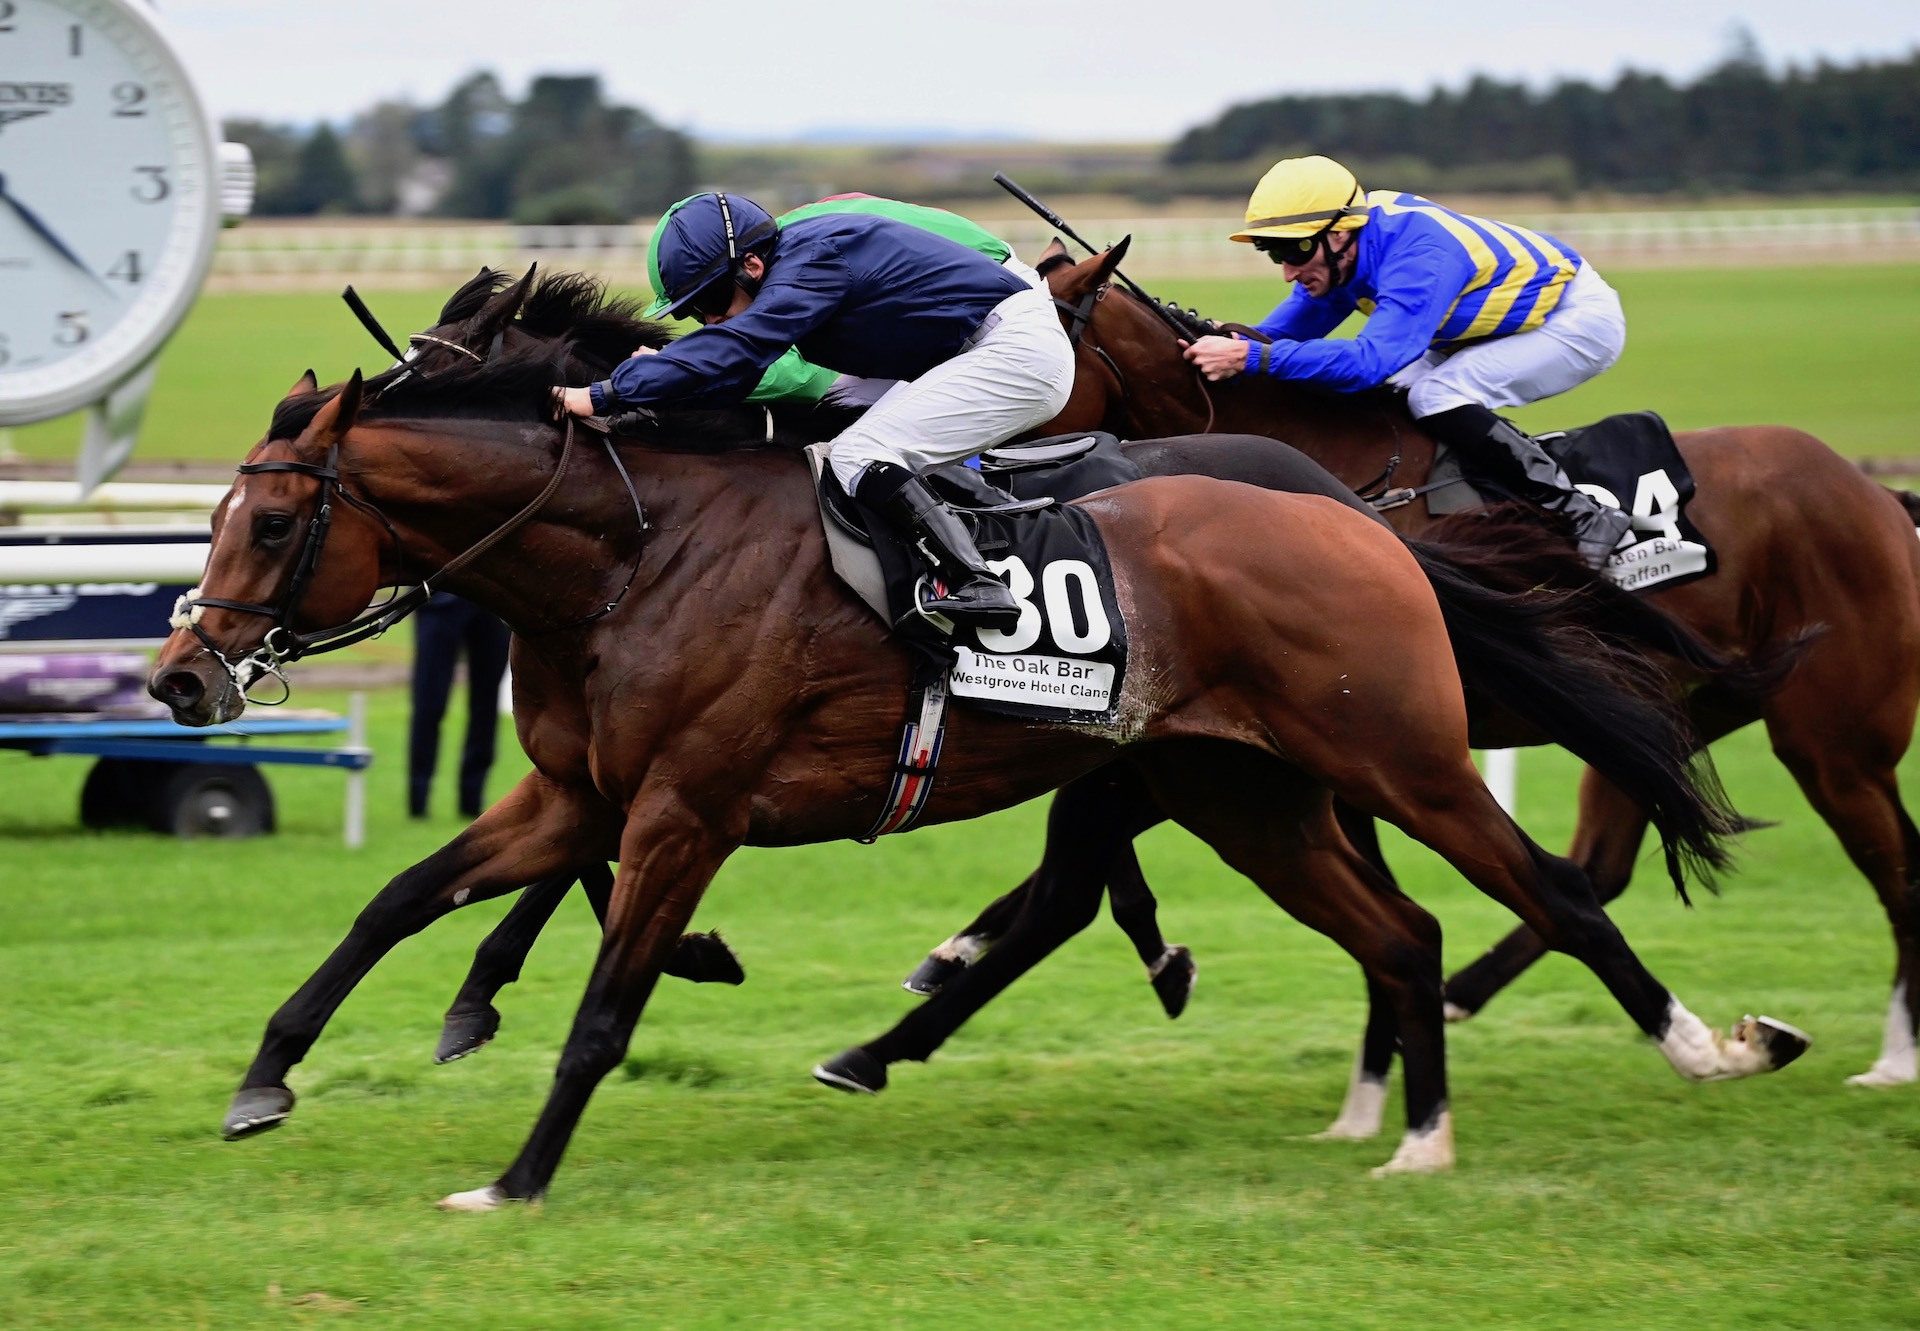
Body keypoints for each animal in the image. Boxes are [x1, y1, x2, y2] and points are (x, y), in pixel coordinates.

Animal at [149, 280, 1797, 1206]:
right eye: (222, 511)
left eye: (276, 523)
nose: (178, 674)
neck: (633, 552)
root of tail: (1352, 521)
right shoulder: (577, 792)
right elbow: (397, 902)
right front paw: (269, 1076)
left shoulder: (686, 808)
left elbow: (605, 1006)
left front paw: (515, 1175)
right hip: (1241, 788)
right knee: (1400, 929)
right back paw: (1410, 1133)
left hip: (1397, 754)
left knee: (1548, 891)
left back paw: (1704, 1046)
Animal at [936, 241, 1912, 1090]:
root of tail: (1877, 494)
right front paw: (965, 949)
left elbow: (1082, 848)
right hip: (1671, 714)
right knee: (1601, 865)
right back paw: (1464, 996)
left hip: (1832, 741)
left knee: (1893, 861)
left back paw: (1894, 1057)